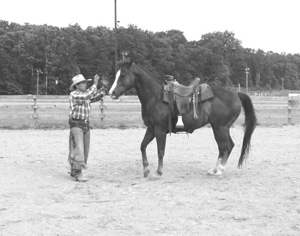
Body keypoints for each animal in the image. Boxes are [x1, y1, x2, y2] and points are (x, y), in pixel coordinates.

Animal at [109, 59, 256, 177]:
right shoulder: (151, 129)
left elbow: (160, 151)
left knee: (227, 146)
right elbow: (142, 146)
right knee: (222, 147)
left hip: (221, 128)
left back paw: (219, 170)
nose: (112, 93)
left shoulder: (159, 129)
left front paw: (159, 172)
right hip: (218, 128)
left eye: (122, 75)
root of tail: (236, 94)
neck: (156, 97)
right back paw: (214, 170)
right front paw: (146, 170)